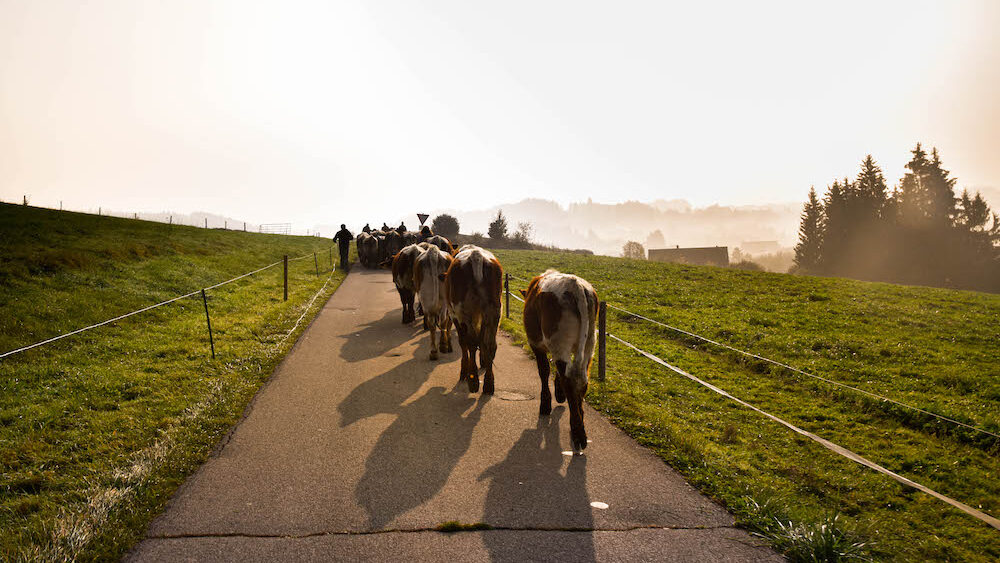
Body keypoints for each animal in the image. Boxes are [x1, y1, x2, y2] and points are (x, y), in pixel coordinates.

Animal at [446, 245, 504, 394]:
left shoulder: (454, 315)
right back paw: (488, 383)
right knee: (490, 344)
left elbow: (464, 343)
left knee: (470, 343)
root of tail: (475, 254)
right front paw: (483, 360)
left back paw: (472, 379)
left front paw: (464, 371)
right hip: (494, 310)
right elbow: (482, 339)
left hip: (463, 312)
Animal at [520, 268, 596, 454]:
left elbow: (544, 371)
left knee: (568, 378)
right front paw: (559, 394)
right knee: (581, 380)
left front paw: (545, 403)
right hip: (589, 344)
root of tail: (575, 284)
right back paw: (580, 421)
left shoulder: (536, 344)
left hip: (559, 341)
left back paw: (578, 434)